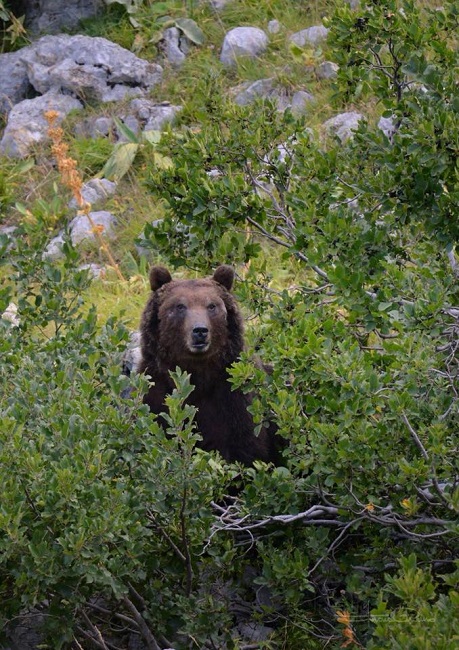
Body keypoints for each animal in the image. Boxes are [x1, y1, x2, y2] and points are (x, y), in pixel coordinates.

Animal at [138, 265, 278, 465]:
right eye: (180, 306)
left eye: (212, 305)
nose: (200, 331)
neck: (198, 373)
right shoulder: (156, 390)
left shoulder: (234, 397)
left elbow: (245, 447)